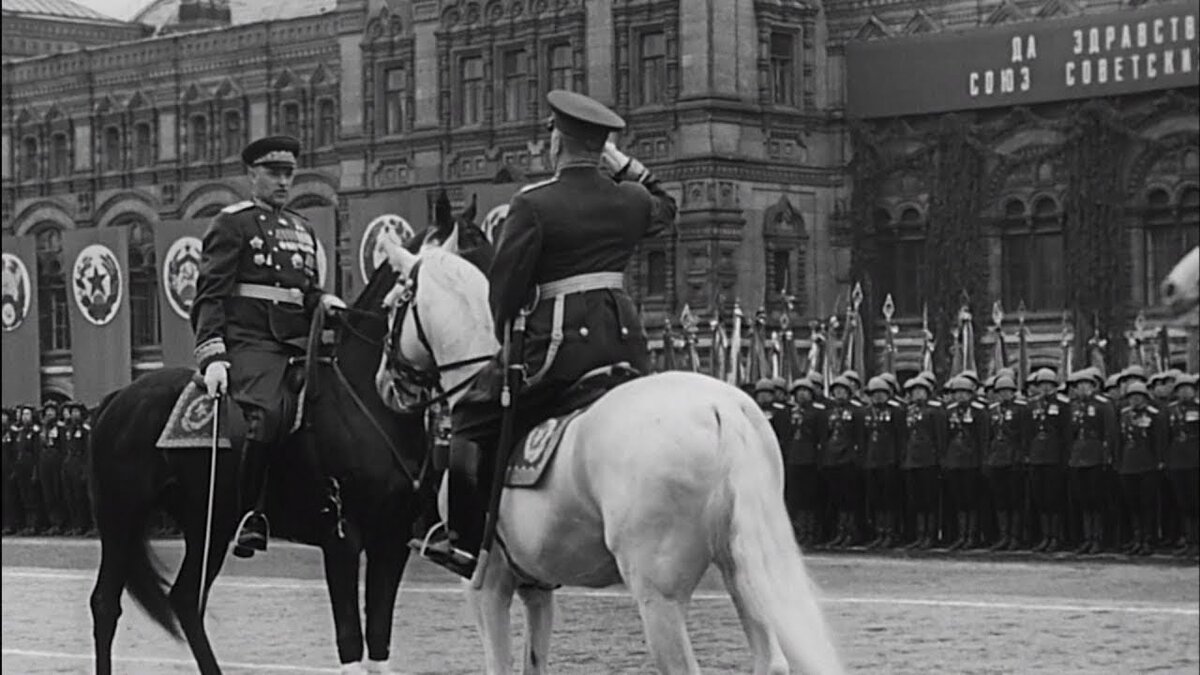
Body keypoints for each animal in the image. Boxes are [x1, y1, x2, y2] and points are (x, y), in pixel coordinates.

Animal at [87, 254, 436, 667]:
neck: (368, 401)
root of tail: (119, 396)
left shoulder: (393, 539)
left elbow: (379, 637)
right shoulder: (342, 538)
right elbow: (351, 639)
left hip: (209, 523)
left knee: (185, 599)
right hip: (121, 516)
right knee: (106, 604)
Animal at [374, 233, 844, 672]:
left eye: (391, 305)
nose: (385, 384)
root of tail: (720, 408)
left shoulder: (486, 583)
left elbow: (500, 665)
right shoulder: (536, 586)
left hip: (658, 594)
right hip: (743, 570)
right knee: (771, 660)